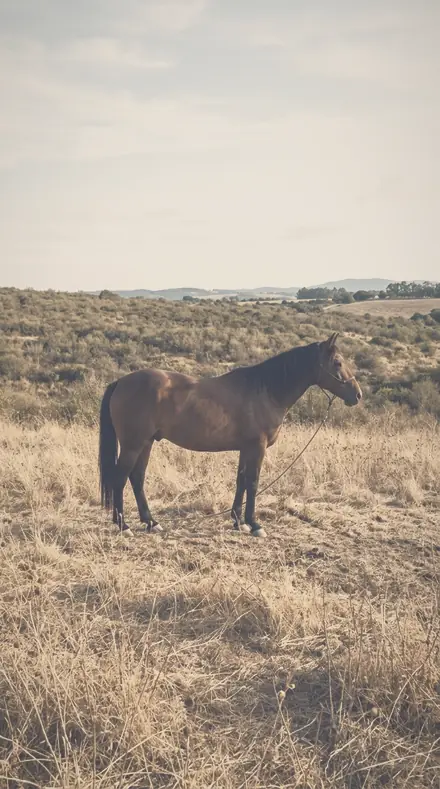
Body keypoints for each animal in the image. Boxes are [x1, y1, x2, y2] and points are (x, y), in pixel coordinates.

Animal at [99, 332, 362, 538]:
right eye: (337, 362)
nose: (357, 395)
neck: (265, 390)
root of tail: (121, 381)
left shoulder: (246, 448)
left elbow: (241, 481)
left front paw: (238, 522)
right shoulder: (257, 447)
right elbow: (253, 483)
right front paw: (255, 525)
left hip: (146, 443)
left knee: (137, 478)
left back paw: (151, 522)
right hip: (133, 444)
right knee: (120, 478)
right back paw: (124, 525)